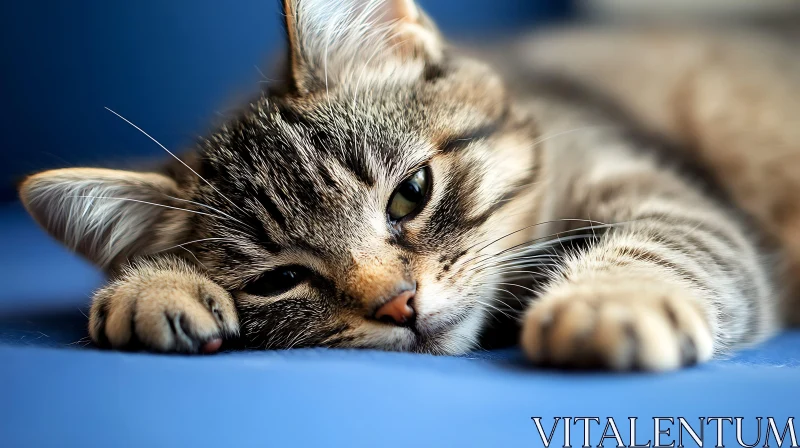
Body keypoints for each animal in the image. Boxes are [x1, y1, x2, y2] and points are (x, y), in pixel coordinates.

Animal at [17, 0, 800, 372]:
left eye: (410, 193)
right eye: (279, 281)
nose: (398, 304)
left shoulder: (654, 185)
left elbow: (667, 241)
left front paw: (612, 302)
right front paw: (151, 287)